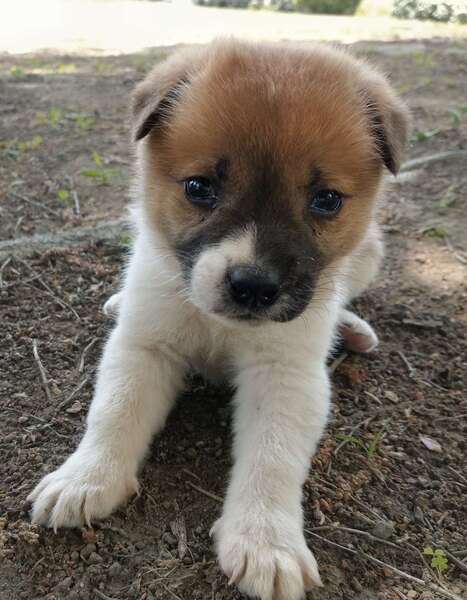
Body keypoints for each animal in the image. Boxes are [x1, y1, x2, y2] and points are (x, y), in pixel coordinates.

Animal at [28, 39, 409, 599]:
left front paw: (266, 542)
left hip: (369, 252)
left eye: (326, 200)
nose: (253, 286)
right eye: (199, 187)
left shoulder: (286, 376)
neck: (222, 328)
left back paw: (351, 328)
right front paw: (86, 479)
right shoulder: (145, 347)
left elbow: (272, 457)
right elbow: (114, 413)